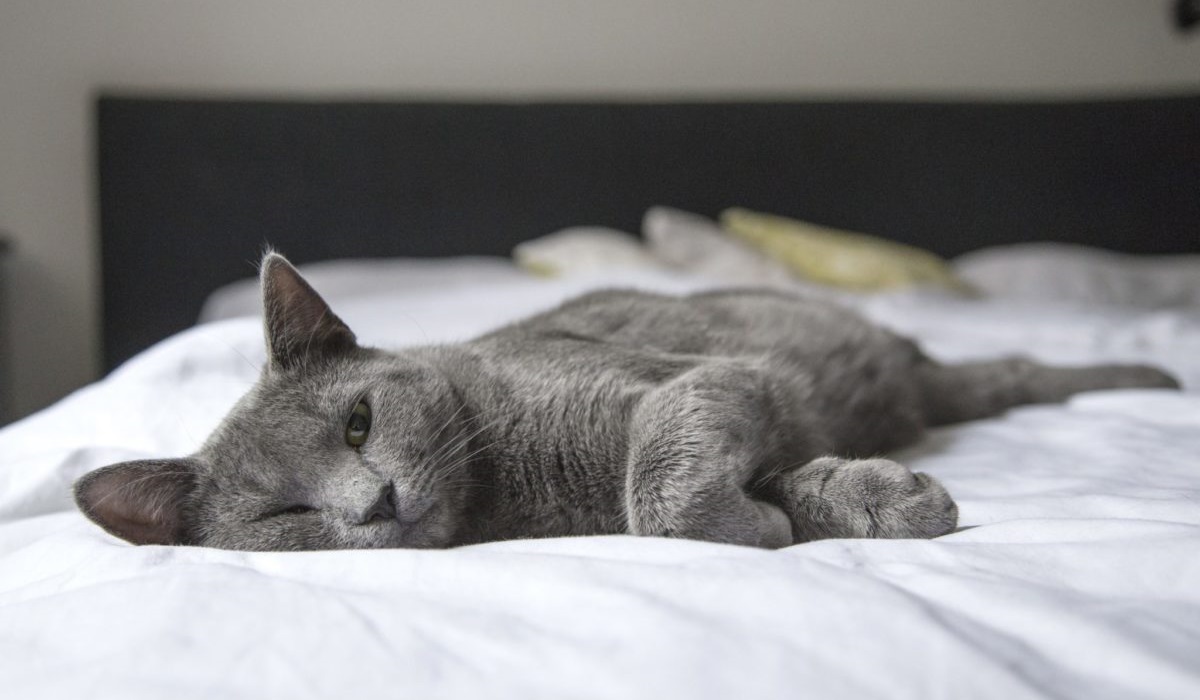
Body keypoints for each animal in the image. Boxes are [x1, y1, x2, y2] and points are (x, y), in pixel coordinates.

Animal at [75, 254, 1180, 549]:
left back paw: (1156, 379)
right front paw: (853, 503)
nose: (374, 502)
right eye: (284, 514)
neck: (515, 495)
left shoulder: (693, 381)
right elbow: (708, 498)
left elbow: (661, 486)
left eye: (357, 423)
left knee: (1018, 370)